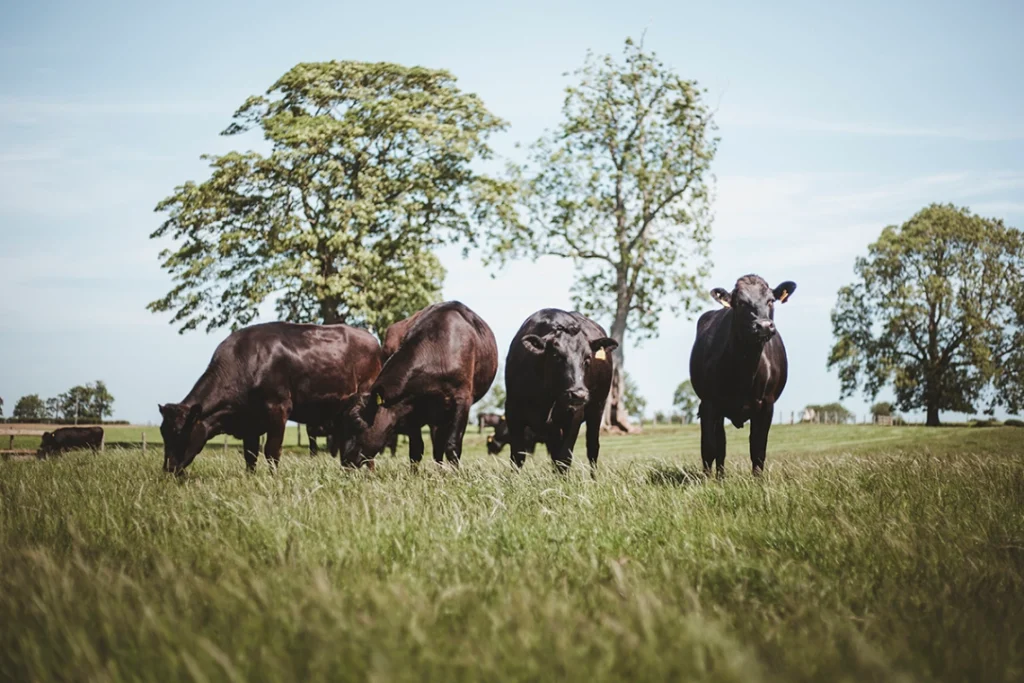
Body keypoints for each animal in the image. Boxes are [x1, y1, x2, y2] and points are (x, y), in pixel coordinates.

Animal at [158, 322, 381, 474]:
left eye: (181, 433)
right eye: (163, 433)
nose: (168, 469)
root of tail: (370, 338)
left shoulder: (278, 408)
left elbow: (271, 451)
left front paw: (274, 480)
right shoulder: (249, 421)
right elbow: (250, 455)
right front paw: (251, 479)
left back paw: (368, 474)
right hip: (341, 410)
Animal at [334, 301, 498, 469]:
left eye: (356, 421)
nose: (345, 460)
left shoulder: (463, 400)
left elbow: (453, 446)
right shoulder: (410, 406)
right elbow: (416, 450)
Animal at [503, 309, 617, 474]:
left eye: (587, 358)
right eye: (557, 356)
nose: (578, 394)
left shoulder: (574, 416)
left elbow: (564, 458)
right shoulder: (512, 412)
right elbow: (517, 456)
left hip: (597, 409)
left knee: (592, 449)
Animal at [689, 275, 796, 477]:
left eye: (771, 300)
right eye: (740, 303)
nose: (764, 326)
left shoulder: (767, 405)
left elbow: (758, 449)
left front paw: (758, 480)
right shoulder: (709, 403)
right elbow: (709, 448)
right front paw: (706, 481)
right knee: (719, 445)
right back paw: (719, 478)